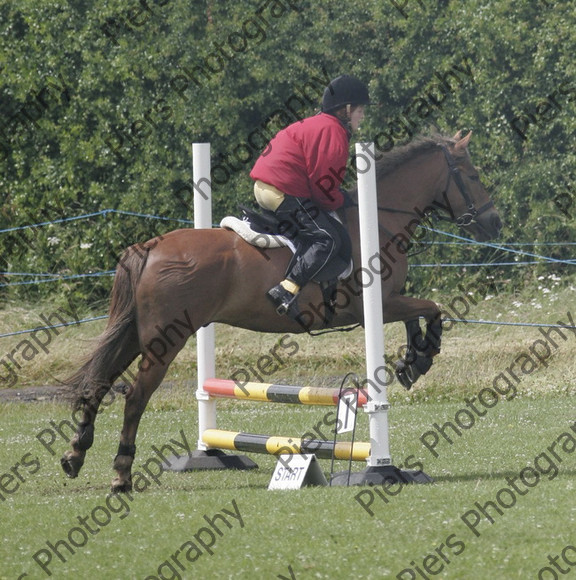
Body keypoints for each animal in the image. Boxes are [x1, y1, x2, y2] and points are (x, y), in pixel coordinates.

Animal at [59, 131, 500, 490]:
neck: (379, 218)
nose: (493, 223)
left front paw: (413, 361)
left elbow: (417, 314)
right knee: (135, 398)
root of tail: (148, 247)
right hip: (164, 340)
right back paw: (121, 475)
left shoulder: (386, 303)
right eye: (472, 175)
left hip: (136, 334)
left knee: (97, 383)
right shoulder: (374, 305)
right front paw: (422, 357)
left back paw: (75, 456)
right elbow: (431, 308)